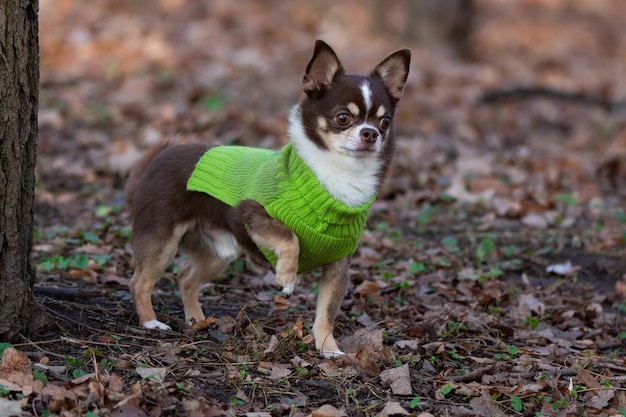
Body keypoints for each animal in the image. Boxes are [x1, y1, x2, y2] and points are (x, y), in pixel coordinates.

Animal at [126, 40, 410, 356]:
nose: (371, 133)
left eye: (385, 122)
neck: (337, 175)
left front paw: (329, 348)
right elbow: (289, 236)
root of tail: (152, 164)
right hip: (162, 242)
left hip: (220, 251)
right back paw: (150, 323)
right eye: (343, 118)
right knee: (139, 282)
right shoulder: (252, 213)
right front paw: (286, 277)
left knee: (185, 278)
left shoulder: (338, 266)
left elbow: (327, 313)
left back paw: (196, 320)